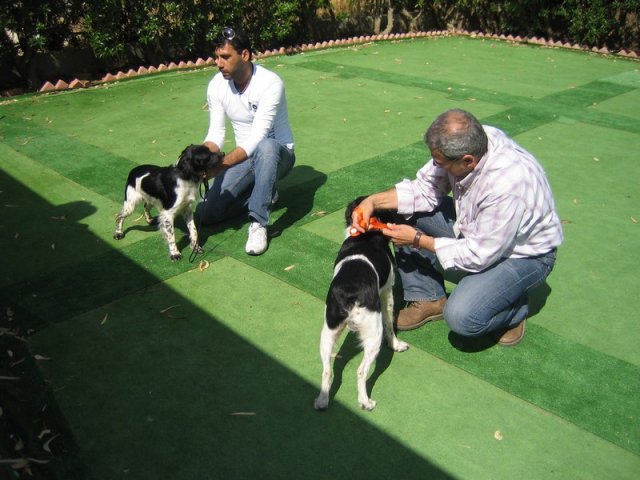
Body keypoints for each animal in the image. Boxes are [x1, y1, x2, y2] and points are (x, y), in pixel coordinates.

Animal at [316, 197, 410, 410]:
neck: (364, 236)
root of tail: (350, 293)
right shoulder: (387, 292)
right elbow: (390, 323)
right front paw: (396, 344)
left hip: (328, 331)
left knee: (327, 370)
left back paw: (322, 400)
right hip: (373, 334)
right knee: (361, 371)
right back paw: (365, 401)